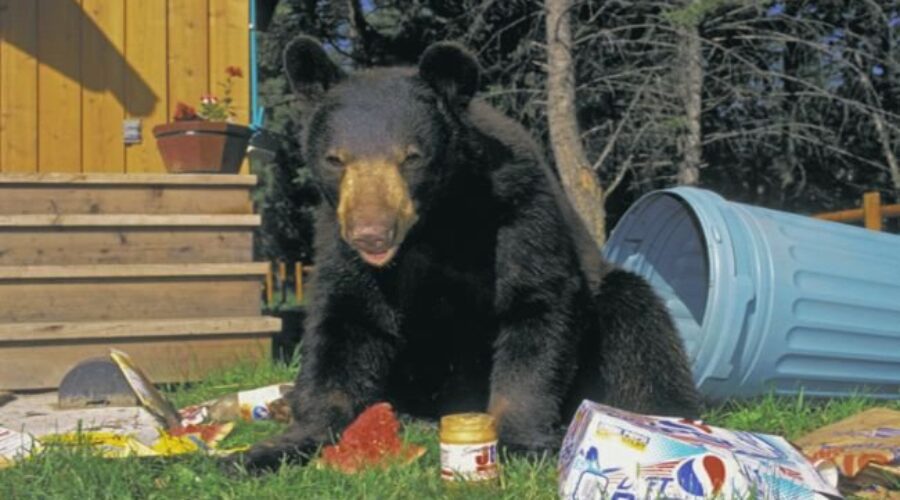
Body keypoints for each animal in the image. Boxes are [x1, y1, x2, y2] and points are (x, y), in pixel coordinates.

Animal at [238, 36, 700, 471]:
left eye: (411, 157)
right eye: (335, 159)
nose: (372, 235)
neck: (433, 223)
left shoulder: (518, 210)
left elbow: (536, 305)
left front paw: (522, 440)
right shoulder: (339, 241)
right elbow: (344, 326)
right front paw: (270, 448)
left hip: (616, 307)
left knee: (638, 324)